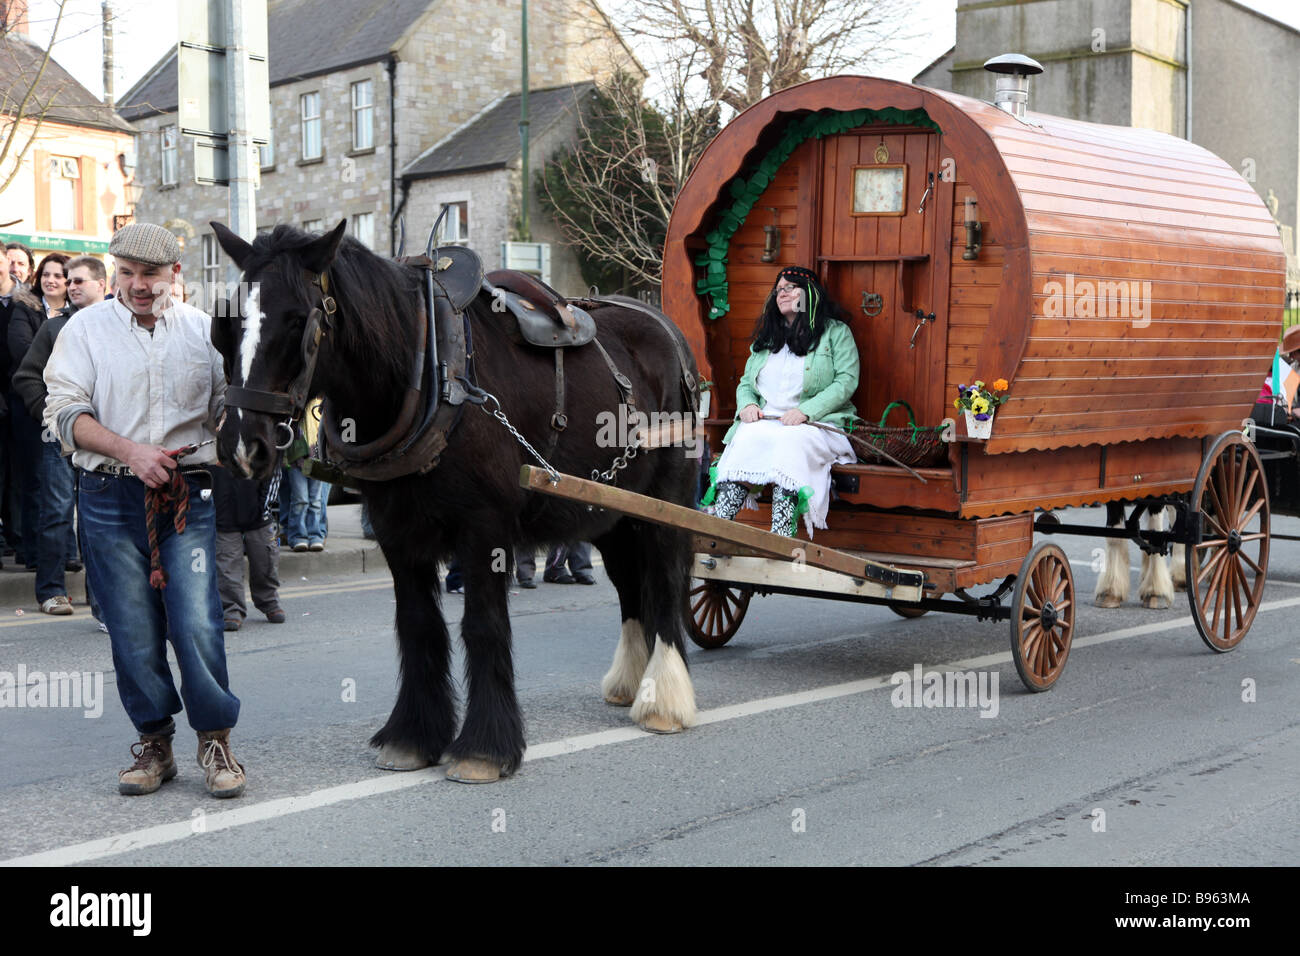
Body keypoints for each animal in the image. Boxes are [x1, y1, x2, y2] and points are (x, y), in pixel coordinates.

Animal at [210, 221, 702, 780]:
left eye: (298, 319)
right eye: (226, 324)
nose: (242, 445)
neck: (431, 371)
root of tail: (665, 327)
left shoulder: (485, 529)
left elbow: (482, 625)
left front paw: (485, 748)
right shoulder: (396, 531)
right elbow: (418, 625)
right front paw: (412, 736)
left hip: (664, 501)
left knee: (664, 580)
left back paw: (664, 700)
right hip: (613, 510)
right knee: (629, 584)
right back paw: (632, 682)